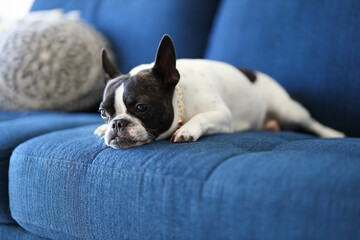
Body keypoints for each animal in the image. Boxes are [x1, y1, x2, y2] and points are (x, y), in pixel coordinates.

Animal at [93, 34, 344, 149]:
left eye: (141, 107)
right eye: (103, 113)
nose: (117, 124)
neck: (181, 99)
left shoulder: (222, 115)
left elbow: (202, 118)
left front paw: (187, 129)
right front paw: (101, 128)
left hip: (288, 109)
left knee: (311, 122)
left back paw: (333, 133)